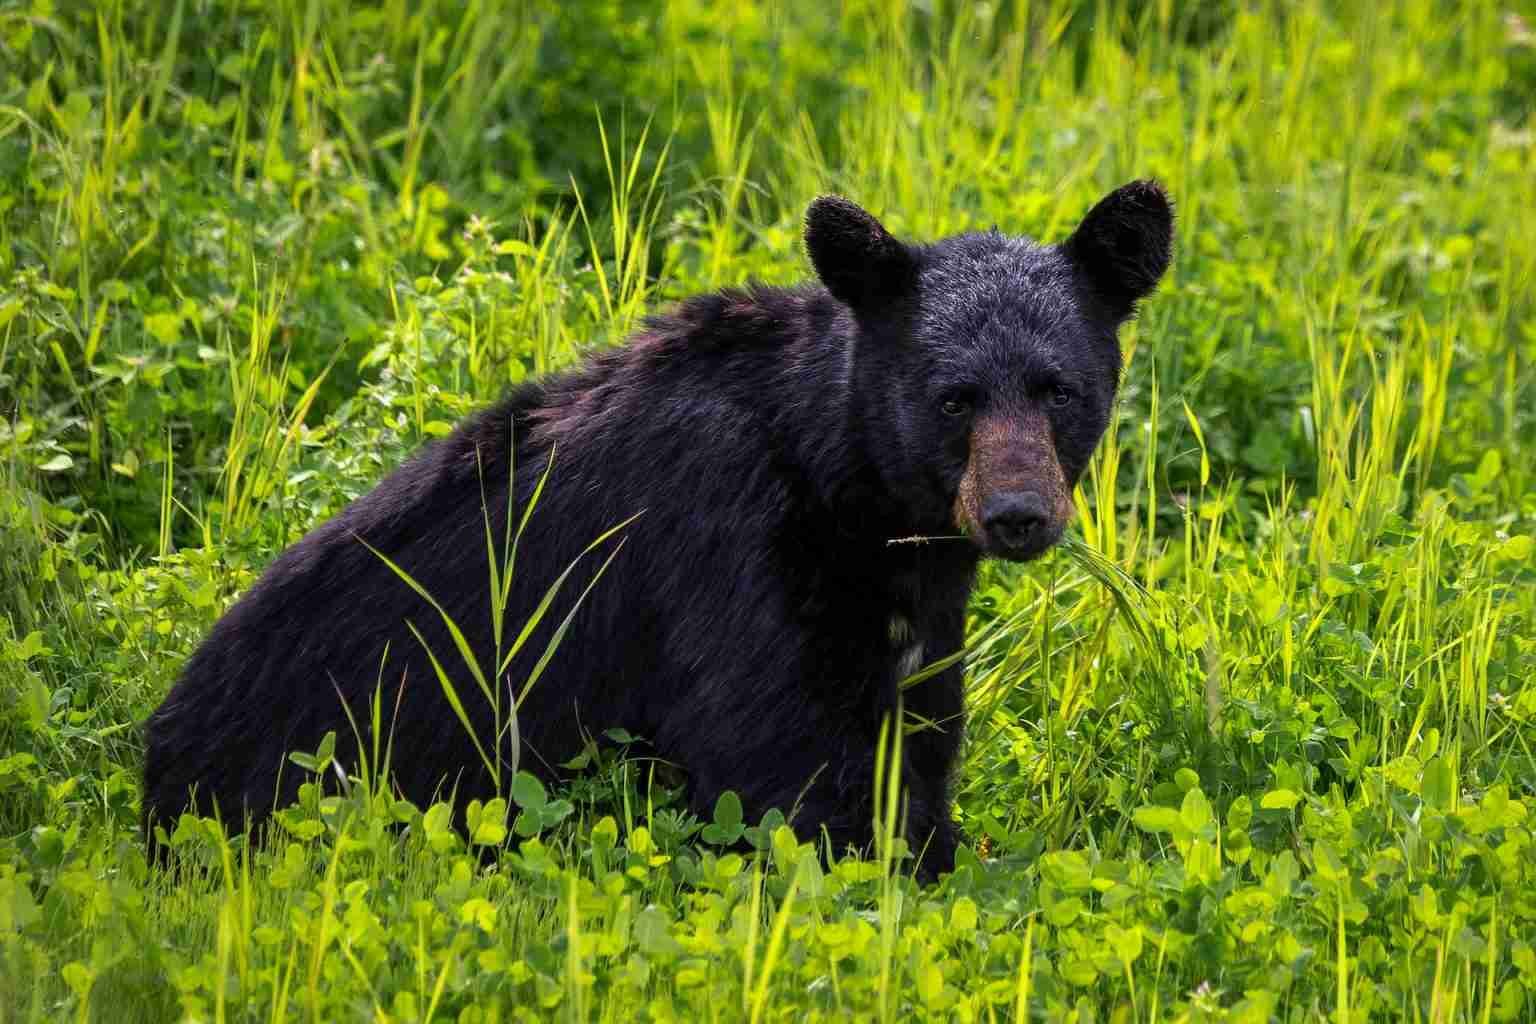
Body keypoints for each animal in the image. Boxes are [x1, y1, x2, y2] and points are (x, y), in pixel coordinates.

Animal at [142, 181, 1173, 878]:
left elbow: (915, 734)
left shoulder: (911, 610)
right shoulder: (732, 547)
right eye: (954, 398)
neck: (848, 491)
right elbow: (782, 763)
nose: (1017, 515)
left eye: (1059, 390)